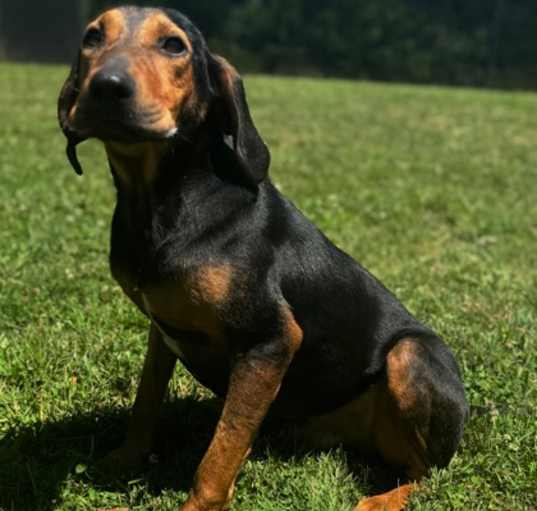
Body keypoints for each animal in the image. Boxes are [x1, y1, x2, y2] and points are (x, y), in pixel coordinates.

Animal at [58, 5, 466, 511]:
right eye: (92, 37)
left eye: (174, 45)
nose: (107, 86)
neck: (163, 200)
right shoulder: (162, 330)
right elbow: (146, 401)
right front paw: (124, 459)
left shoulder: (271, 339)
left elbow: (220, 452)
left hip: (410, 355)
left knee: (426, 472)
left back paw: (380, 500)